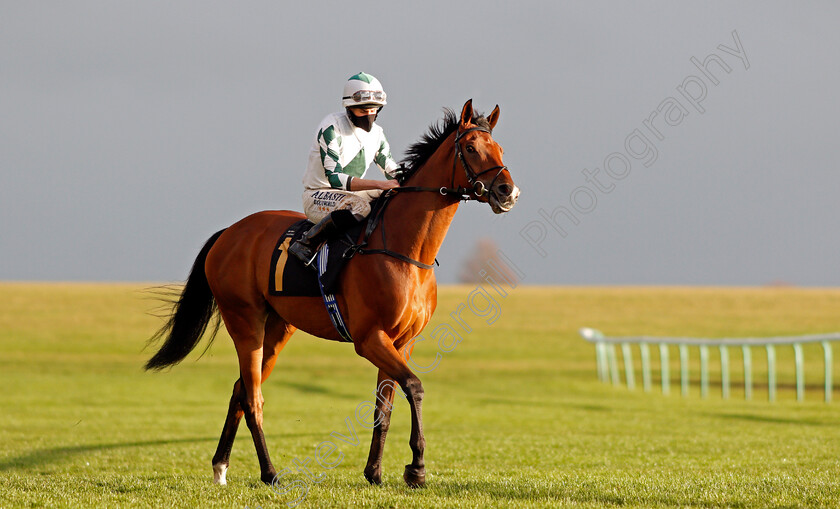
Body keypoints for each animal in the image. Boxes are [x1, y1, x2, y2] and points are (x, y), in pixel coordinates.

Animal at [148, 98, 520, 488]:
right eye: (470, 148)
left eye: (499, 148)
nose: (507, 191)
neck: (404, 251)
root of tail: (229, 232)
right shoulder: (370, 339)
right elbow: (414, 386)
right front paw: (416, 468)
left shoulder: (402, 341)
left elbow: (384, 406)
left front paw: (375, 472)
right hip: (245, 321)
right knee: (253, 398)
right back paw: (270, 473)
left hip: (278, 328)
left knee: (240, 389)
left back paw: (221, 466)